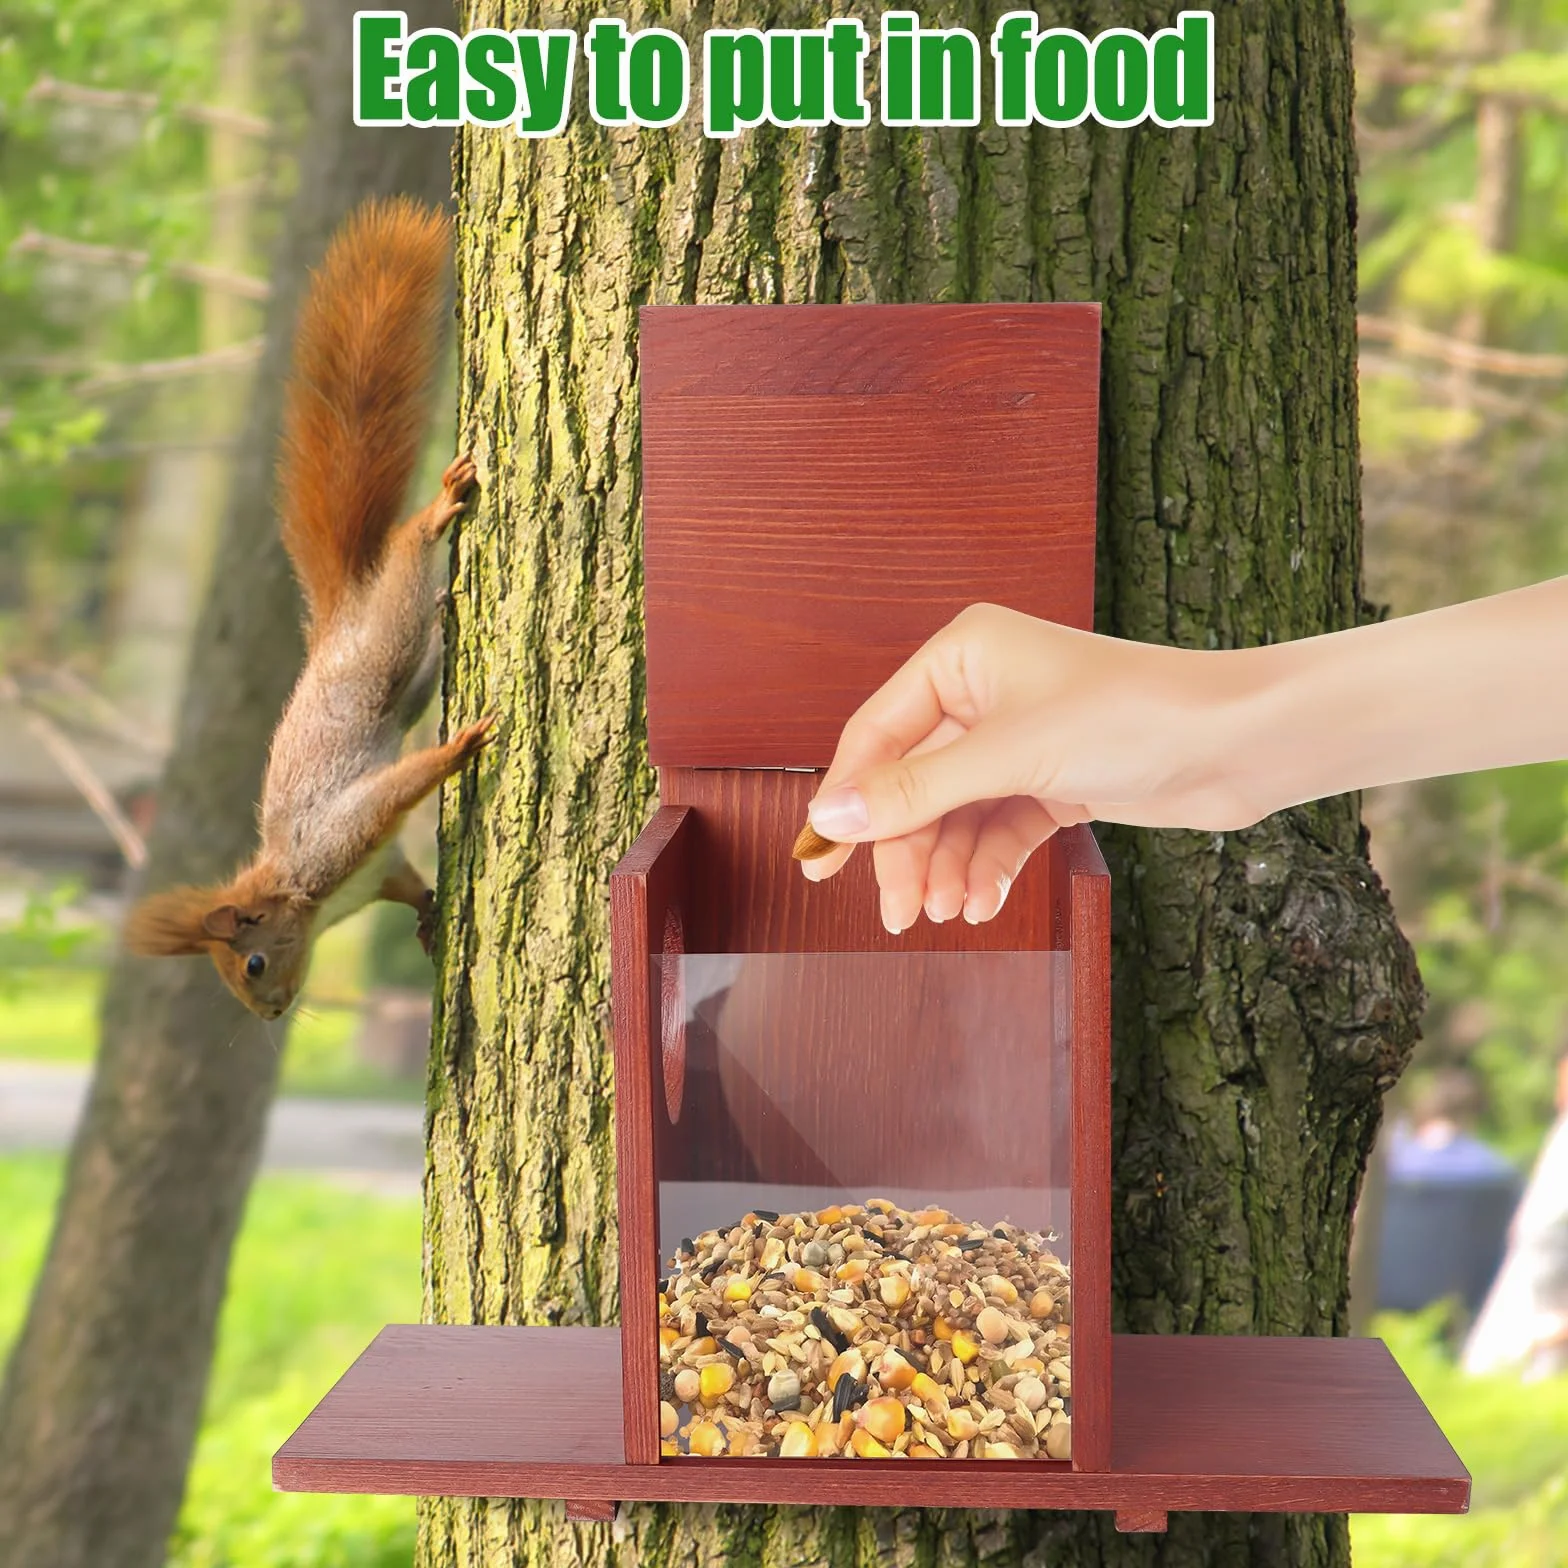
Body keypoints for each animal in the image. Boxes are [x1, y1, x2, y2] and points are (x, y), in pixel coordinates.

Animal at [125, 197, 494, 1019]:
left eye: (253, 963)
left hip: (385, 641)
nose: (269, 1013)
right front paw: (427, 918)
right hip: (410, 674)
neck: (307, 897)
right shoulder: (375, 871)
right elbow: (407, 884)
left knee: (404, 558)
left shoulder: (339, 839)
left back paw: (434, 515)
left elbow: (399, 787)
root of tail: (336, 623)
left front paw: (457, 751)